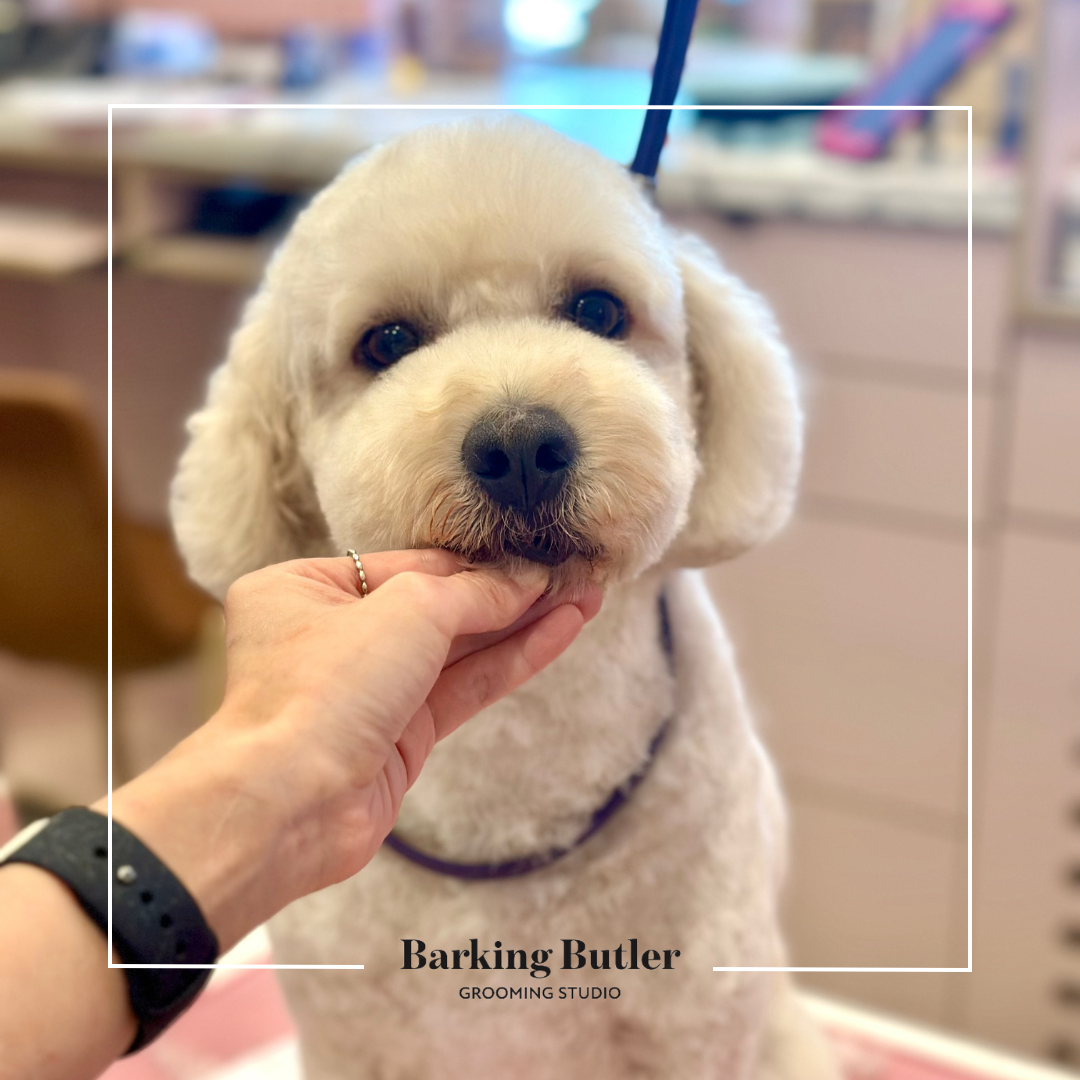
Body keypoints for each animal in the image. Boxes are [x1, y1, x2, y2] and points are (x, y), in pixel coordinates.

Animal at [171, 117, 838, 1080]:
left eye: (599, 311)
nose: (522, 445)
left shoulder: (695, 1025)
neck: (518, 755)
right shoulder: (348, 1034)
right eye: (386, 342)